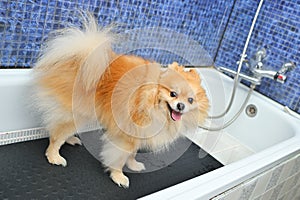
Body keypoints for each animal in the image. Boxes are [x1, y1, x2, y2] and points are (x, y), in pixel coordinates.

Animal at [32, 14, 206, 188]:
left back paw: (70, 139)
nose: (181, 106)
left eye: (190, 100)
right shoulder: (126, 135)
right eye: (173, 94)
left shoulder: (137, 134)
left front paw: (133, 165)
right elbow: (120, 158)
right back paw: (54, 156)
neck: (151, 101)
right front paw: (118, 176)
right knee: (56, 135)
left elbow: (132, 153)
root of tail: (81, 57)